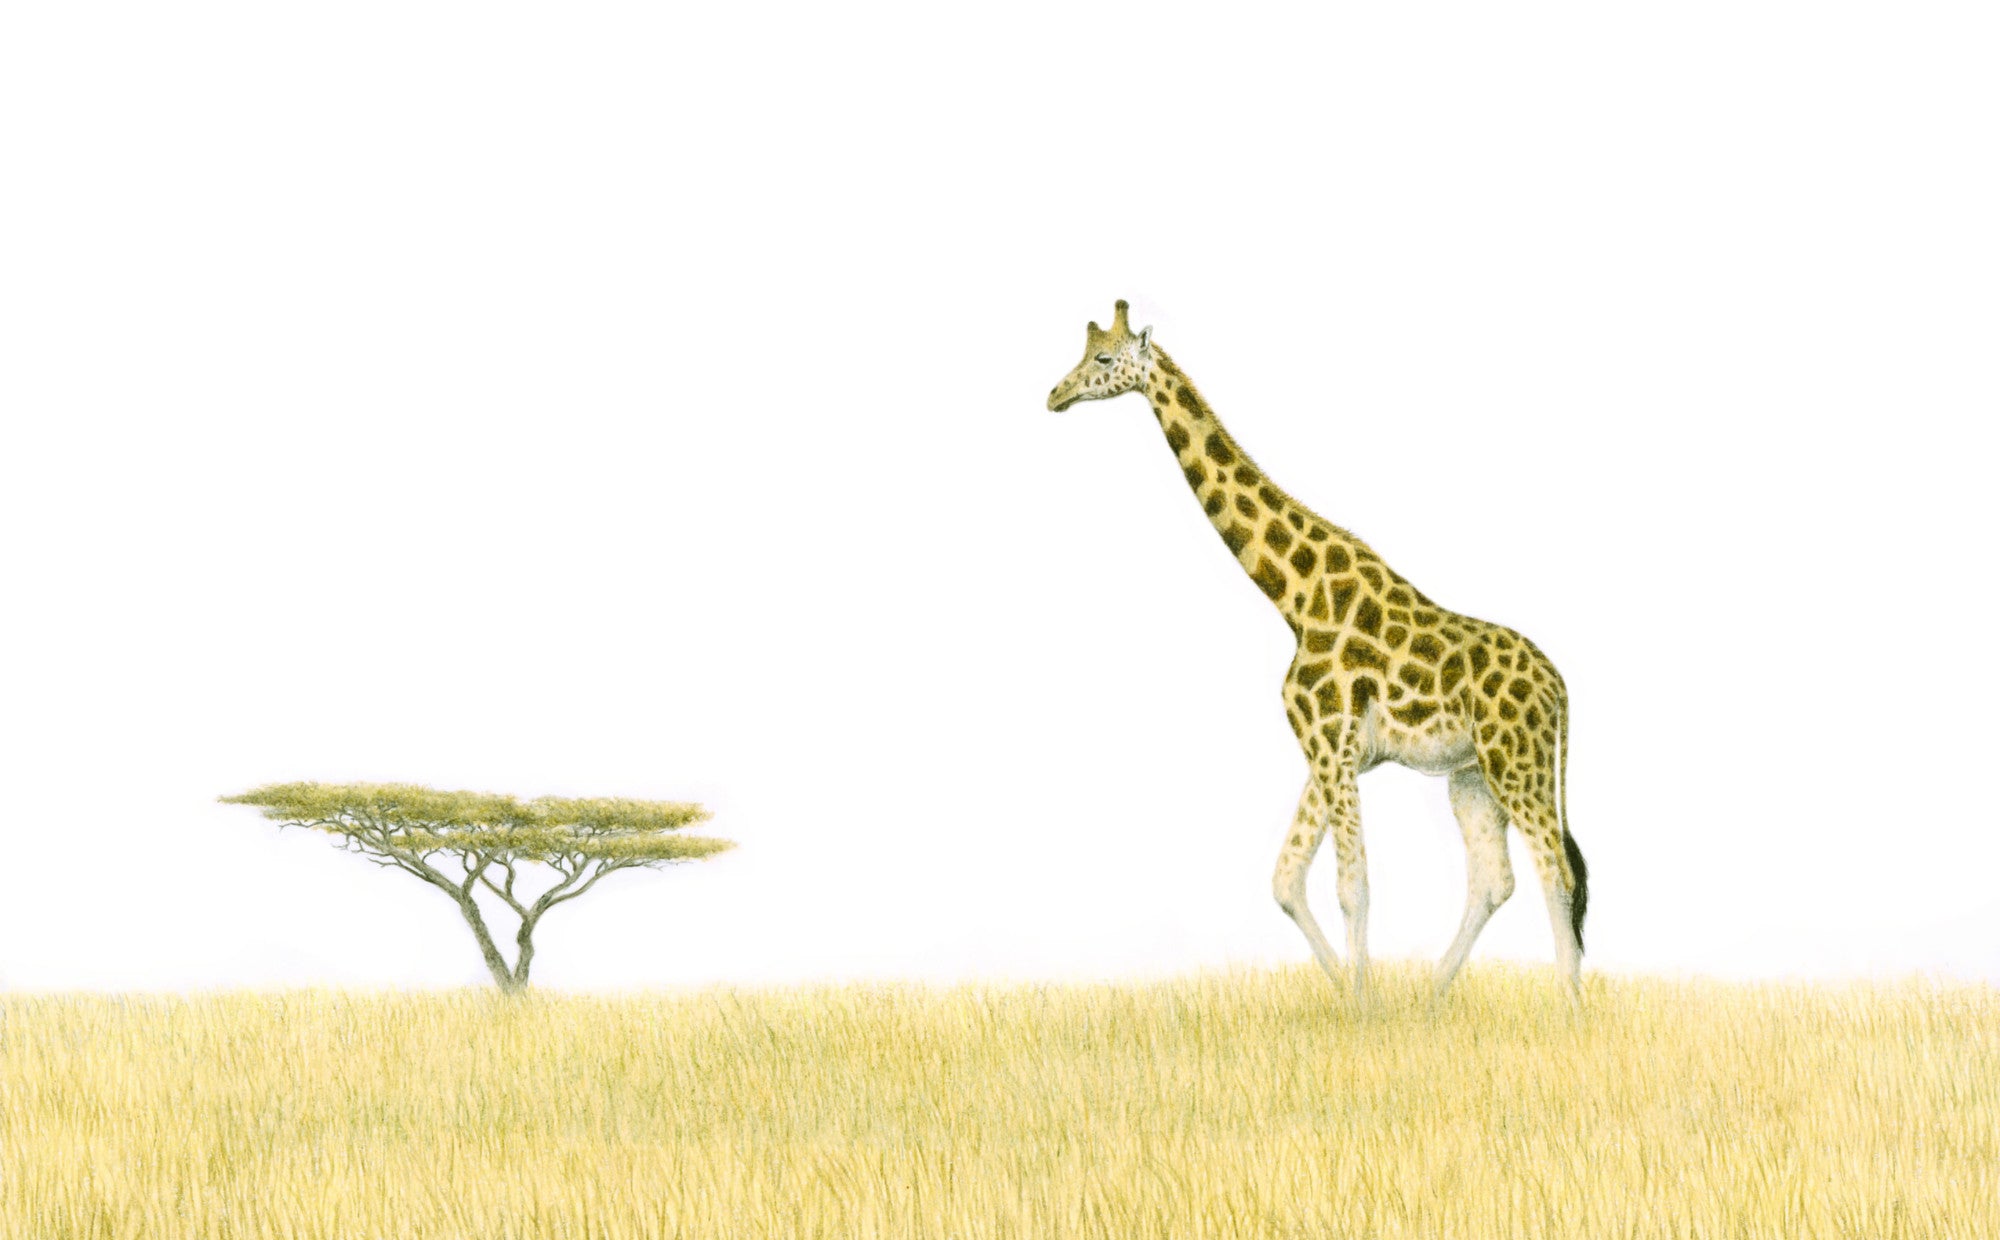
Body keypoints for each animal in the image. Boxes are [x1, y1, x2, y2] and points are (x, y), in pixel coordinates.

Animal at [1045, 301, 1588, 1000]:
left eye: (1104, 359)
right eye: (1082, 354)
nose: (1054, 395)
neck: (1297, 600)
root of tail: (1559, 685)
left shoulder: (1330, 743)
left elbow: (1352, 885)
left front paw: (1362, 1004)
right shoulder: (1330, 750)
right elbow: (1287, 879)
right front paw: (1353, 995)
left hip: (1516, 761)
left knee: (1556, 869)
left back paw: (1569, 1007)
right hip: (1473, 777)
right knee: (1497, 879)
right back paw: (1431, 997)